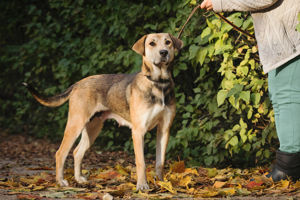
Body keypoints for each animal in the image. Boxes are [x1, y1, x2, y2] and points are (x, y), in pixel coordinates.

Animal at [23, 32, 183, 189]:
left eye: (168, 42)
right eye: (152, 43)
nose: (164, 52)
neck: (158, 83)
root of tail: (77, 83)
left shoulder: (164, 129)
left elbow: (160, 162)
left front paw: (162, 183)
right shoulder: (138, 131)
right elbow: (141, 162)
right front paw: (142, 185)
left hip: (93, 128)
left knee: (77, 152)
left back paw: (78, 179)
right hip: (76, 124)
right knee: (60, 153)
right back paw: (60, 181)